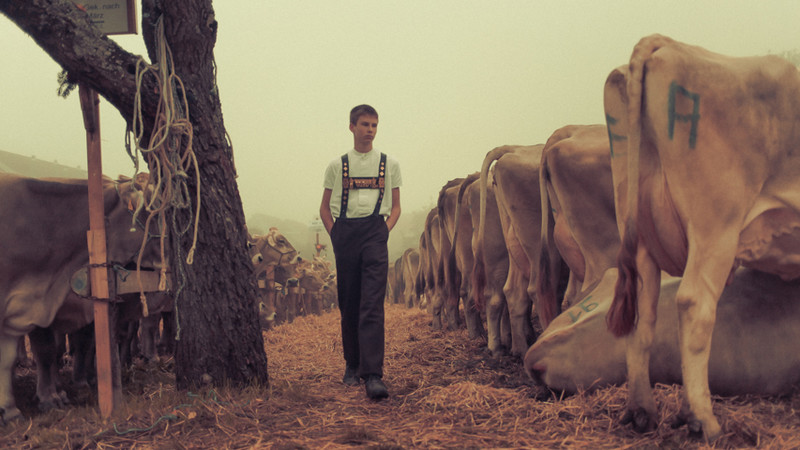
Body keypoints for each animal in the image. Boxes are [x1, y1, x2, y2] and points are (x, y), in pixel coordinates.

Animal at [604, 34, 800, 440]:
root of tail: (668, 45)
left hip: (639, 226)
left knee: (642, 316)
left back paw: (643, 411)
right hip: (715, 225)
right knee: (695, 304)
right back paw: (702, 419)